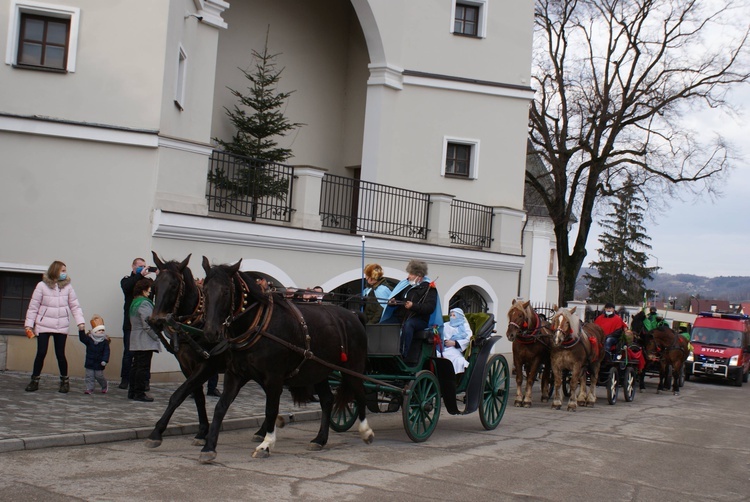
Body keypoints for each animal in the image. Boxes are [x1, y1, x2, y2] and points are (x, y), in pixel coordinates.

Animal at [200, 256, 376, 460]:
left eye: (226, 291)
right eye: (205, 290)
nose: (210, 332)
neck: (258, 325)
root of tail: (354, 315)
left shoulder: (274, 378)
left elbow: (271, 409)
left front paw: (266, 443)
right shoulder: (236, 374)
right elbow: (221, 407)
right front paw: (209, 447)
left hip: (353, 367)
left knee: (360, 393)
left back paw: (365, 431)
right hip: (319, 371)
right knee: (327, 400)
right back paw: (320, 439)